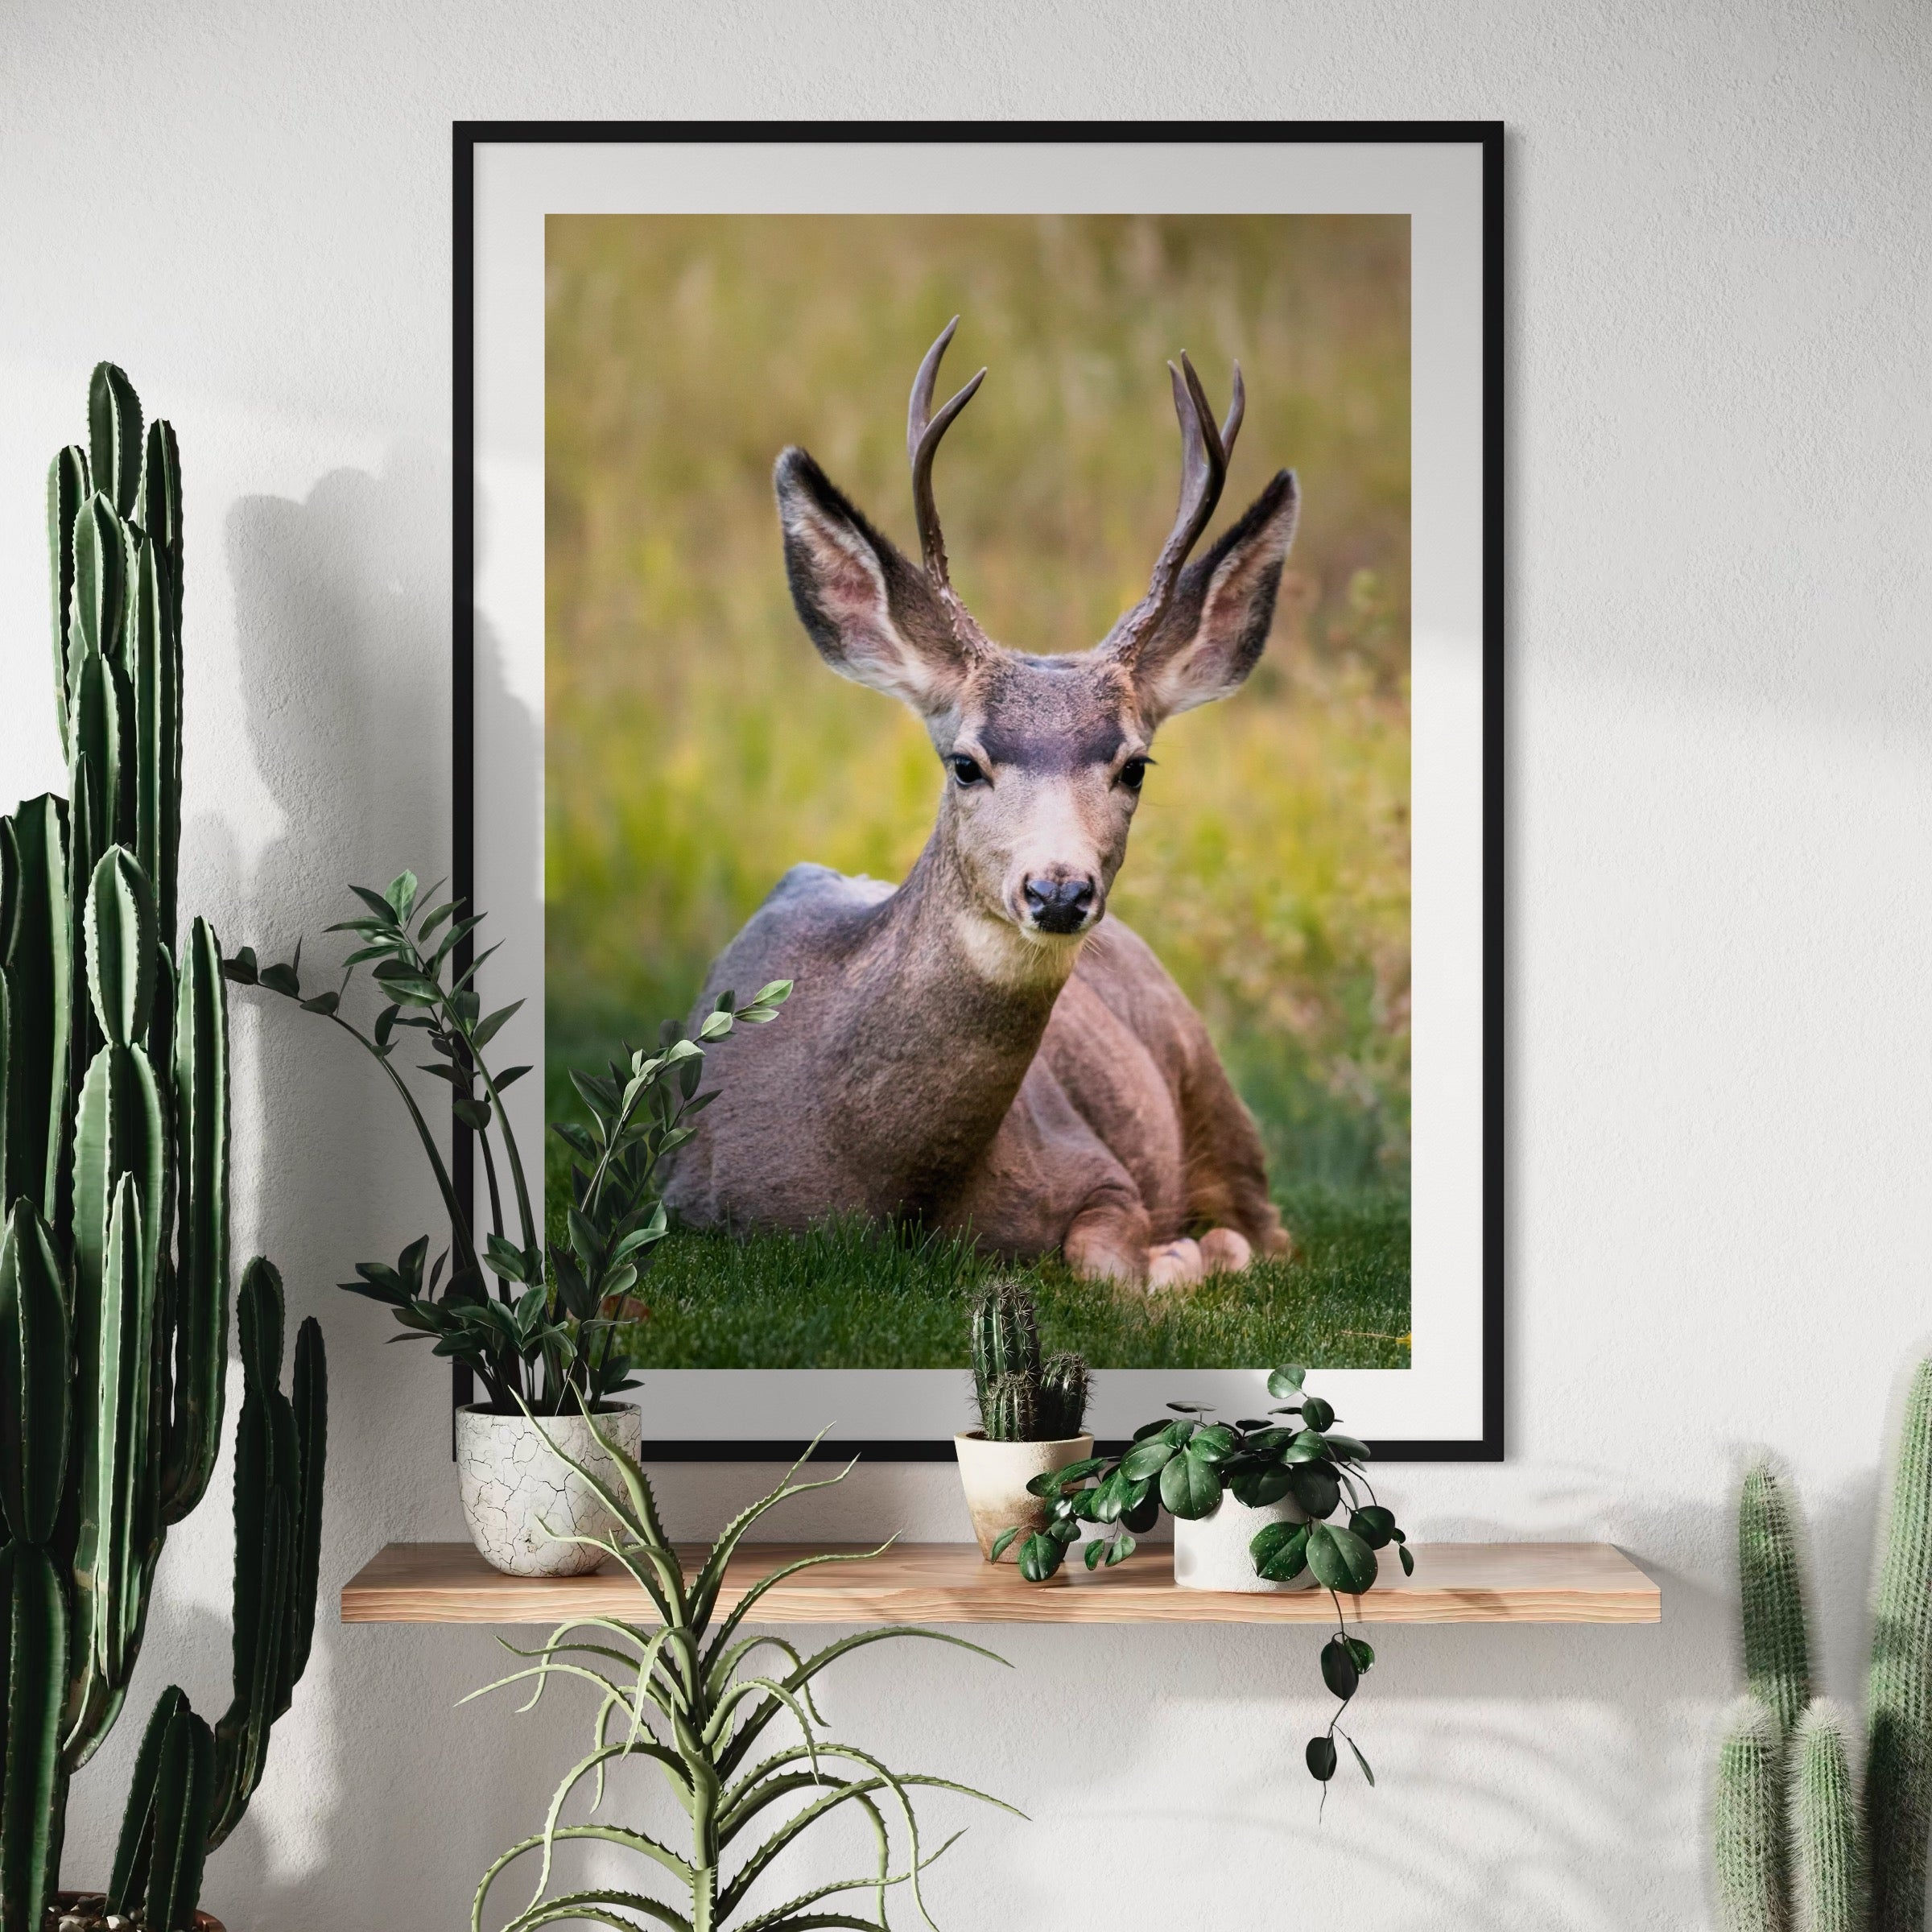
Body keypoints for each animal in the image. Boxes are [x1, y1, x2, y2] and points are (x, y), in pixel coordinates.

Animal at [662, 321, 1301, 1290]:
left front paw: (1182, 1256)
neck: (885, 1191)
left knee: (1273, 1227)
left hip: (1209, 1081)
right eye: (965, 763)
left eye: (1135, 766)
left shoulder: (1097, 1167)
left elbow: (1108, 1258)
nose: (1059, 891)